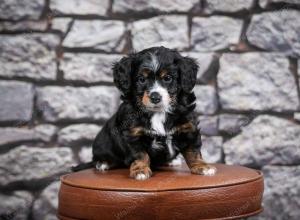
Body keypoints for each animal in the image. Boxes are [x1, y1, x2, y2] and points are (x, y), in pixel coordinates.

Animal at [73, 46, 218, 180]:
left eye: (168, 78)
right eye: (141, 79)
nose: (155, 97)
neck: (159, 112)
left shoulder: (188, 128)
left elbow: (193, 151)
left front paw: (202, 167)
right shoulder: (132, 135)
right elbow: (140, 155)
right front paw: (140, 171)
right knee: (98, 158)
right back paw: (103, 163)